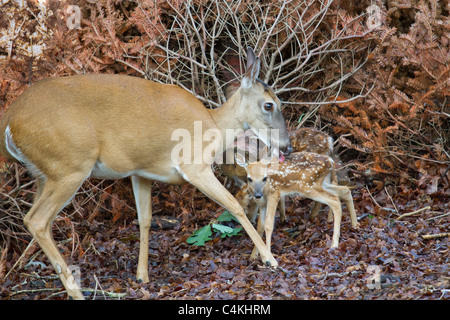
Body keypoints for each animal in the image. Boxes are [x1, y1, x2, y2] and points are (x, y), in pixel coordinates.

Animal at [0, 48, 292, 300]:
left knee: (41, 221)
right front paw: (269, 258)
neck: (215, 125)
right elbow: (234, 205)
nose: (287, 146)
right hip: (70, 166)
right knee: (36, 220)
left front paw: (142, 276)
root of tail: (9, 121)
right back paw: (77, 292)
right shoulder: (194, 165)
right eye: (269, 105)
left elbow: (145, 219)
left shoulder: (141, 172)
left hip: (44, 173)